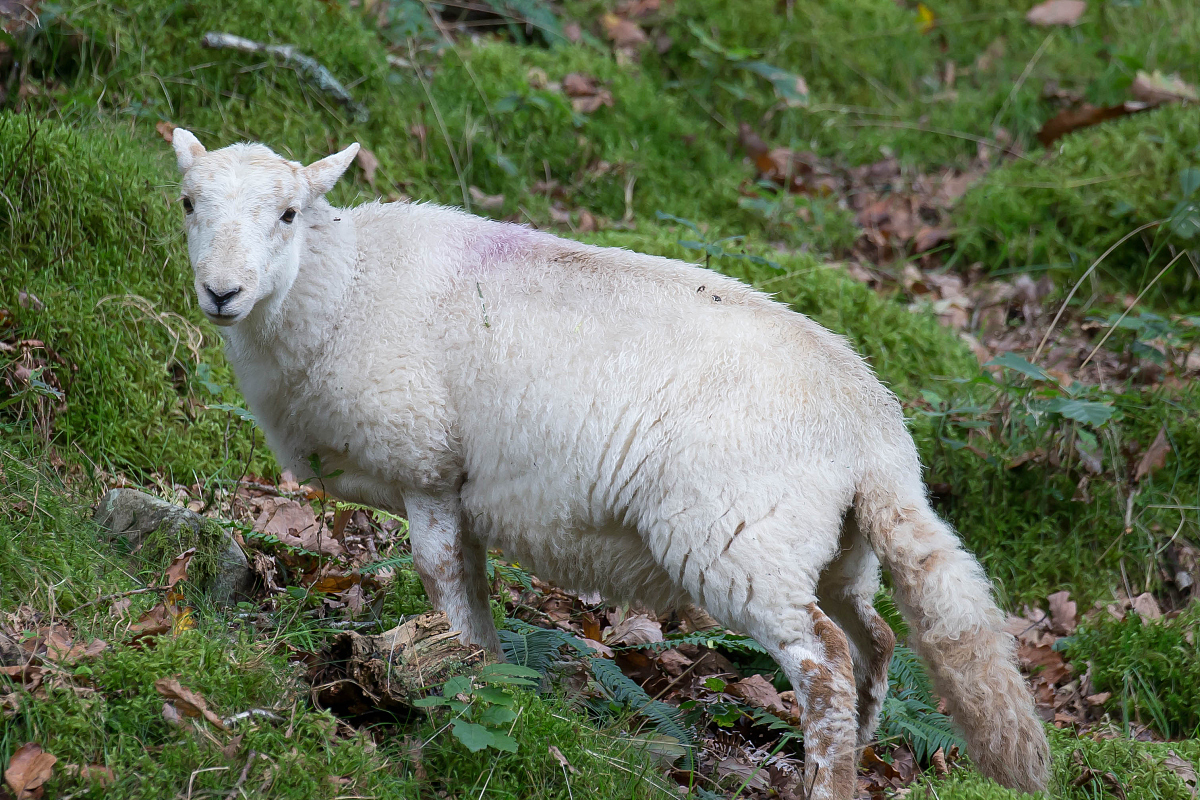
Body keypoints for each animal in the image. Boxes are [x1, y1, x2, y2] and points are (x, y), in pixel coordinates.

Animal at [169, 131, 1051, 800]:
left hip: (741, 538)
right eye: (188, 204)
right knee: (876, 645)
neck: (344, 286)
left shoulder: (428, 474)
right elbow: (475, 611)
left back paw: (826, 783)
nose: (222, 293)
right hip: (836, 550)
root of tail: (875, 434)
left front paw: (452, 695)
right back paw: (860, 756)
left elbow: (443, 589)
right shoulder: (465, 492)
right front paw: (494, 691)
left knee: (826, 663)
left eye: (289, 214)